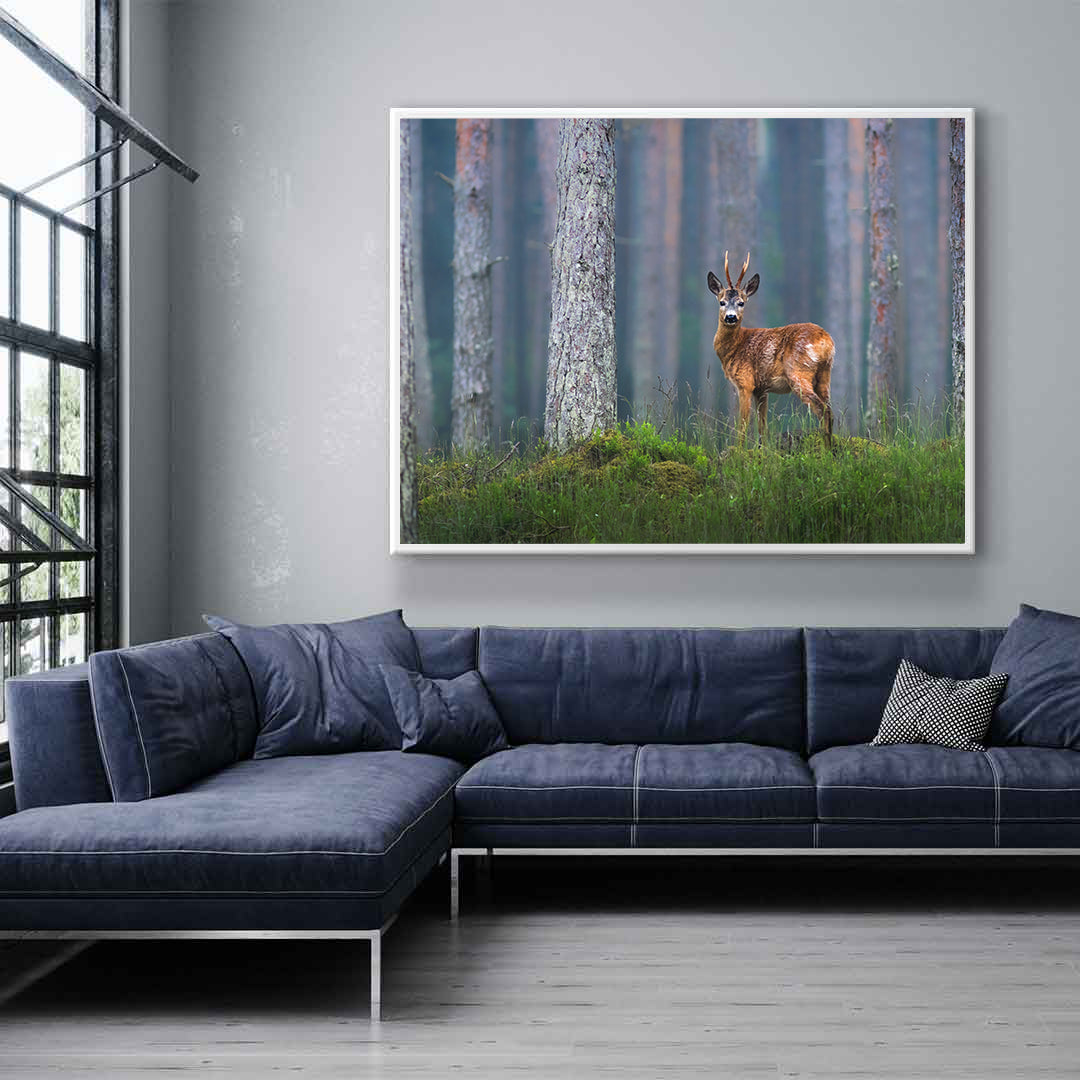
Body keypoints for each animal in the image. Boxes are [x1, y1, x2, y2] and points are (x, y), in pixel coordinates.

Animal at [707, 251, 835, 447]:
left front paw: (738, 450)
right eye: (722, 302)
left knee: (821, 409)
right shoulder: (761, 389)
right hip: (825, 374)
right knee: (830, 409)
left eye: (741, 303)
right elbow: (762, 425)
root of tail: (825, 340)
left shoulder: (745, 382)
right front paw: (762, 449)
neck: (735, 348)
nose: (730, 317)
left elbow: (743, 424)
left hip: (798, 371)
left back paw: (825, 448)